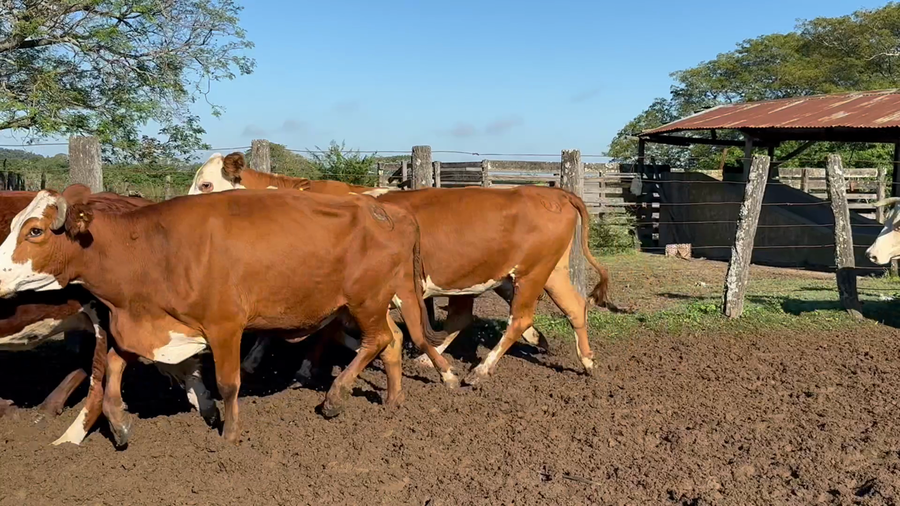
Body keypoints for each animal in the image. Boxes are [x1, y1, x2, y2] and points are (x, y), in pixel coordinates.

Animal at [0, 187, 456, 446]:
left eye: (35, 231)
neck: (153, 249)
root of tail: (389, 213)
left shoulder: (224, 327)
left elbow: (228, 383)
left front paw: (230, 434)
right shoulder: (150, 328)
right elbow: (112, 367)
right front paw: (121, 426)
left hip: (365, 301)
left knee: (377, 341)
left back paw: (335, 398)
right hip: (367, 304)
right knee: (392, 341)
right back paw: (393, 401)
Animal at [191, 152, 613, 386]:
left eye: (207, 184)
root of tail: (550, 192)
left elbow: (322, 333)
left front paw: (301, 368)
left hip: (530, 274)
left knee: (519, 318)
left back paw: (481, 369)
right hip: (542, 273)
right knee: (572, 307)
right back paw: (586, 362)